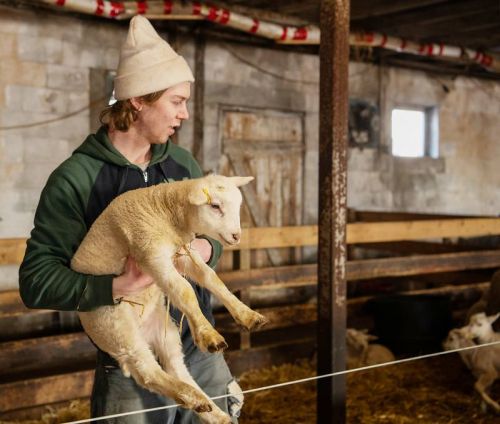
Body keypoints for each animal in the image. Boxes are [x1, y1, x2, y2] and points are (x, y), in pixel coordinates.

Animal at [71, 173, 270, 424]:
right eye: (215, 206)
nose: (236, 236)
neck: (165, 210)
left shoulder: (182, 253)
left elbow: (212, 279)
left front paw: (247, 315)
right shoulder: (151, 255)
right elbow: (184, 290)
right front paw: (209, 335)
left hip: (165, 330)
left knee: (177, 368)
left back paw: (210, 409)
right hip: (116, 326)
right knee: (147, 372)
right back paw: (192, 397)